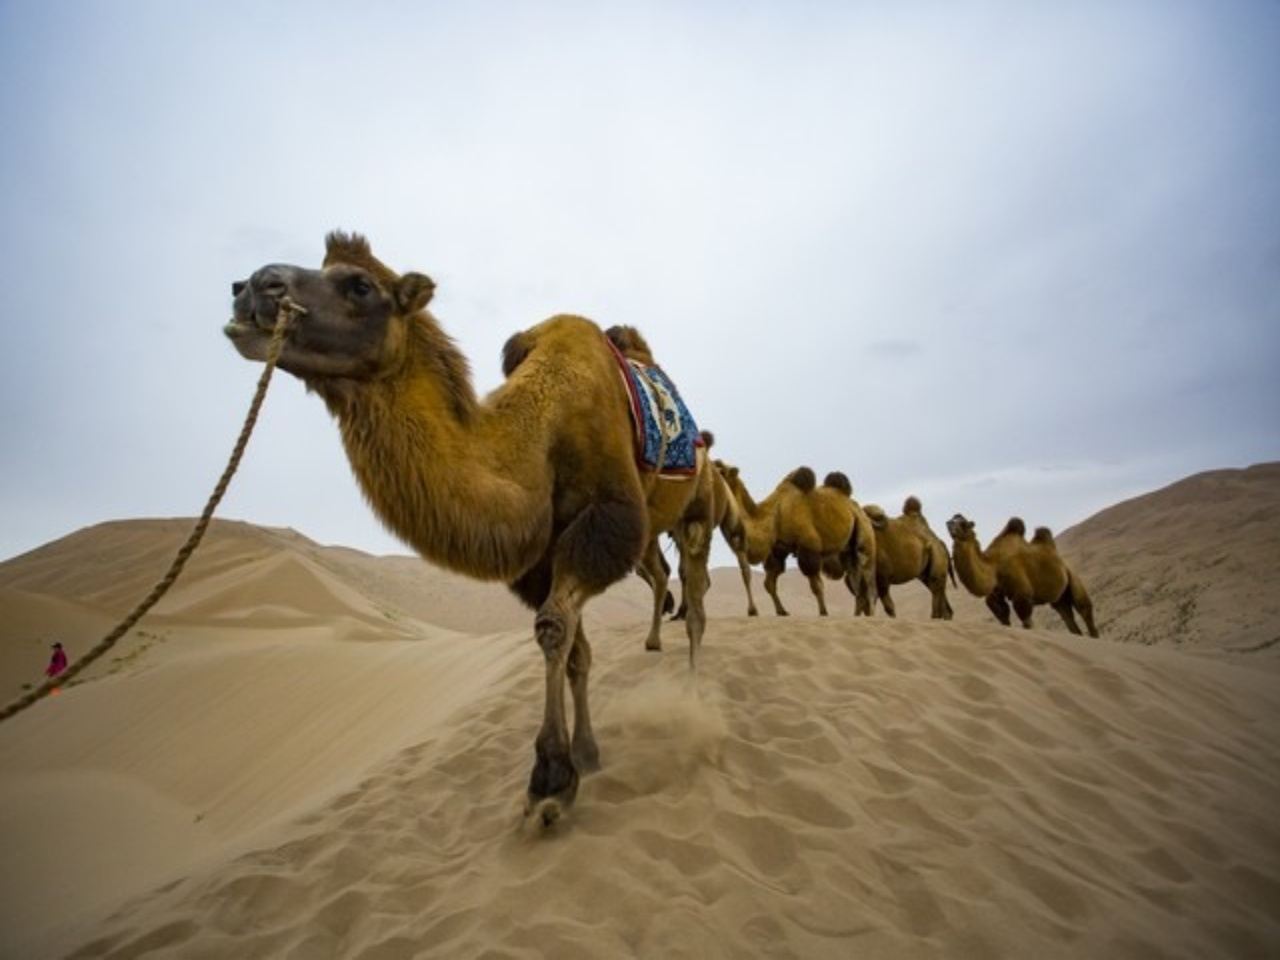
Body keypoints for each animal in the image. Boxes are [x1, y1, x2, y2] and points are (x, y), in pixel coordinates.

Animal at [225, 232, 715, 823]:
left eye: (360, 285)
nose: (252, 285)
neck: (537, 442)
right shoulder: (540, 558)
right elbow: (575, 649)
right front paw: (585, 754)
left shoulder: (606, 524)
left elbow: (553, 628)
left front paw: (551, 780)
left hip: (697, 507)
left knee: (695, 599)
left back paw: (692, 697)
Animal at [717, 463, 876, 616]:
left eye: (721, 471)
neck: (775, 512)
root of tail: (856, 507)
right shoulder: (778, 549)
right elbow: (769, 583)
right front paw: (781, 611)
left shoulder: (809, 545)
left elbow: (816, 585)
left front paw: (823, 612)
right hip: (847, 551)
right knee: (856, 580)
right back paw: (857, 613)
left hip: (864, 535)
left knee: (866, 578)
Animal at [946, 514, 1099, 637]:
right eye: (951, 520)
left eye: (963, 523)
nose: (949, 524)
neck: (994, 564)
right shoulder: (996, 593)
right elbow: (1003, 616)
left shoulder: (1023, 595)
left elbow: (1027, 623)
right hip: (1059, 599)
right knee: (1067, 616)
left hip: (1073, 577)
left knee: (1084, 608)